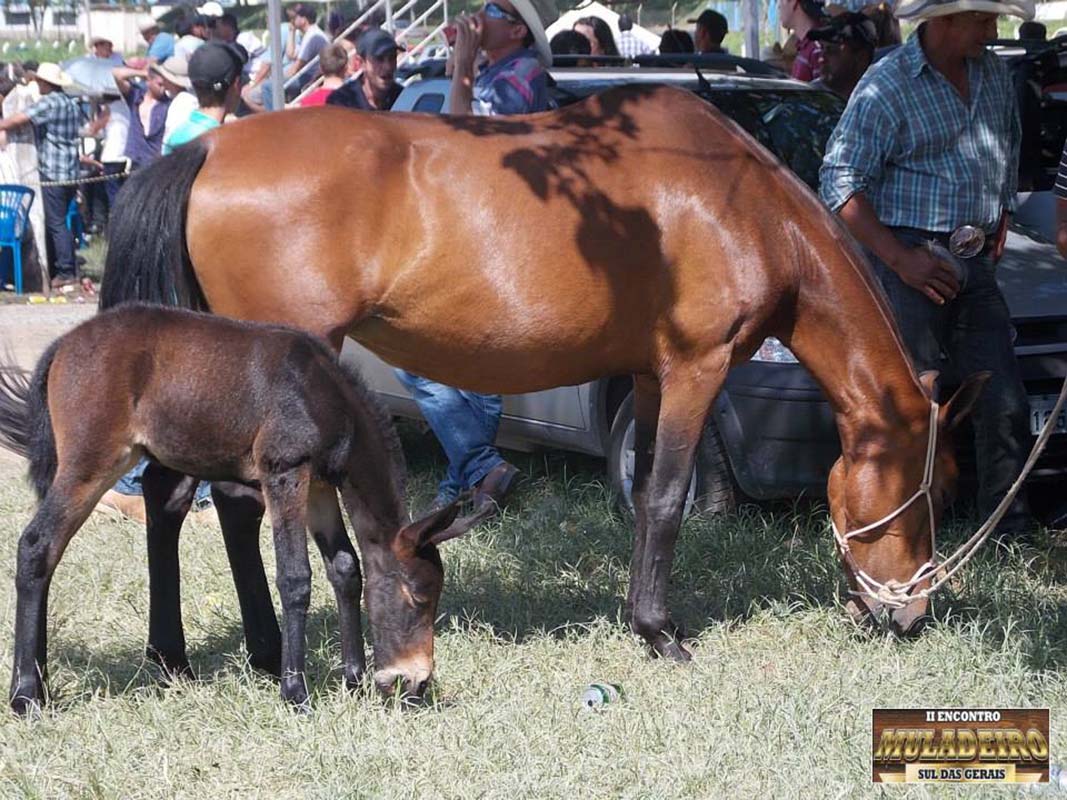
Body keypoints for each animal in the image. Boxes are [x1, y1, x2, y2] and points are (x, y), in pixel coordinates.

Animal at [0, 304, 466, 714]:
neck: (327, 397)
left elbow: (346, 567)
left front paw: (353, 680)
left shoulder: (319, 484)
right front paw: (295, 692)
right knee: (37, 545)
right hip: (91, 461)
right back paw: (26, 694)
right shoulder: (284, 471)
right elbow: (296, 577)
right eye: (418, 597)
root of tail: (62, 344)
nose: (417, 683)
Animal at [100, 84, 986, 668]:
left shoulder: (650, 376)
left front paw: (644, 618)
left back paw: (182, 652)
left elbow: (644, 492)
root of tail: (208, 147)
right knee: (236, 503)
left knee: (172, 496)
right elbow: (667, 498)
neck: (741, 202)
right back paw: (256, 649)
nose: (908, 614)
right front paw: (658, 632)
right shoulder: (695, 368)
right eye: (935, 492)